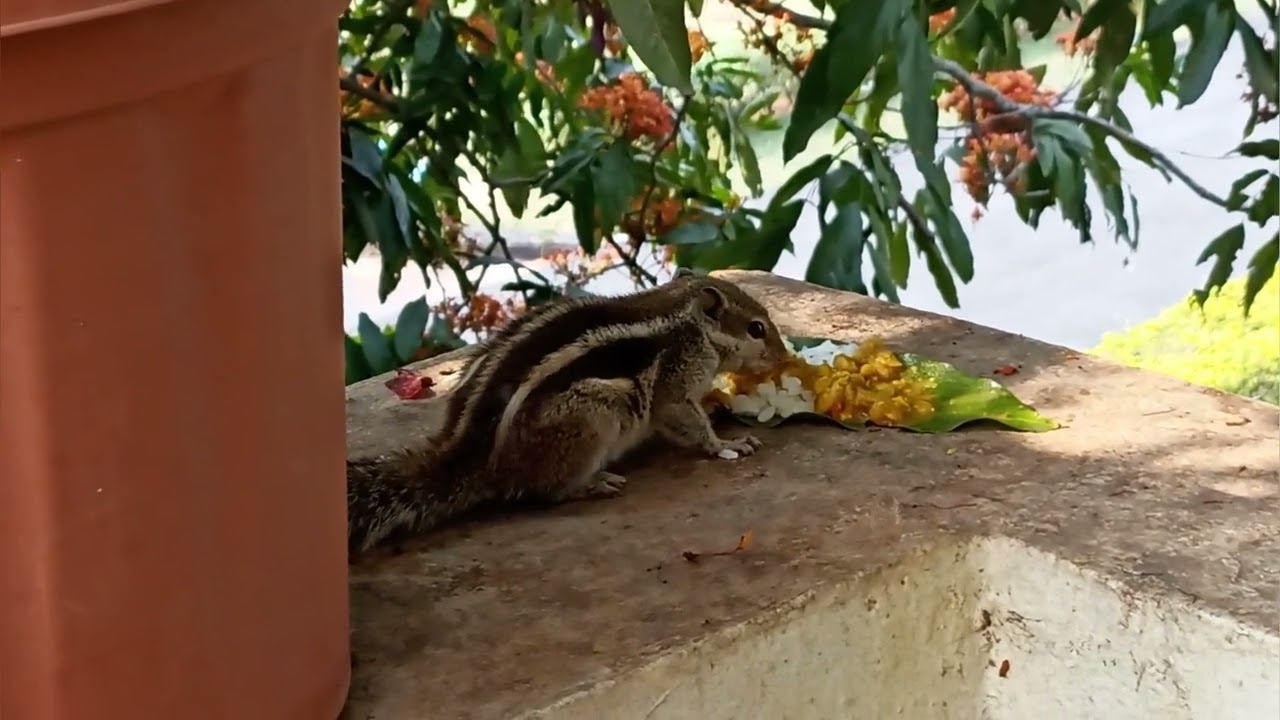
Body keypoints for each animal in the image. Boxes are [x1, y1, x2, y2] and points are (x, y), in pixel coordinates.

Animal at [345, 270, 790, 555]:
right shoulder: (674, 382)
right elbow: (684, 418)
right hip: (594, 416)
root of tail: (471, 458)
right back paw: (592, 483)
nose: (784, 357)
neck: (687, 320)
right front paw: (729, 442)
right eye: (756, 329)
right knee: (545, 491)